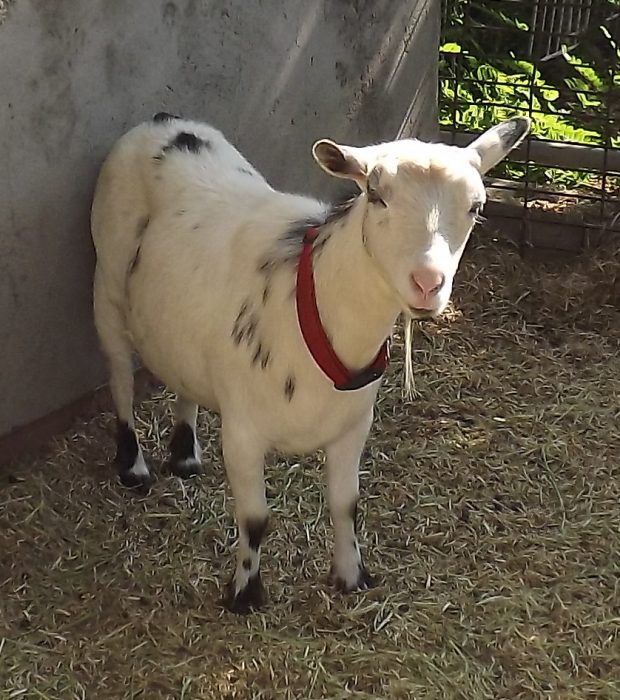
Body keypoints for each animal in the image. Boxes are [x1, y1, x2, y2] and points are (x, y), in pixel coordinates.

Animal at [91, 112, 530, 612]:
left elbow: (346, 504)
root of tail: (163, 119)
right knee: (120, 377)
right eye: (376, 194)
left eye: (477, 206)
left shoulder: (353, 425)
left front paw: (352, 576)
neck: (312, 303)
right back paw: (133, 466)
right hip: (106, 288)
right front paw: (245, 593)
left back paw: (184, 456)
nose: (427, 283)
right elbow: (255, 517)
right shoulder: (243, 433)